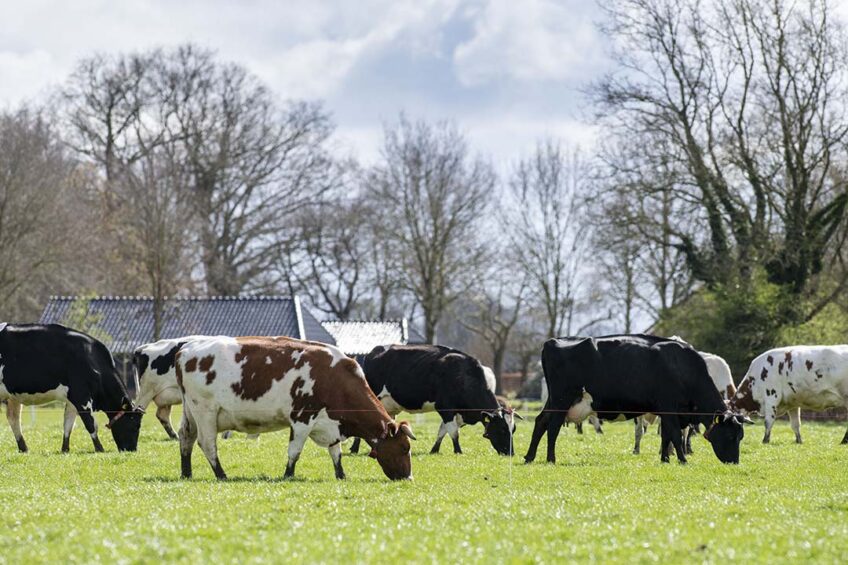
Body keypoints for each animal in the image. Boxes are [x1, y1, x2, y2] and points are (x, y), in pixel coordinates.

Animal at [0, 324, 141, 452]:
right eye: (134, 426)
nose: (132, 450)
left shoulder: (72, 399)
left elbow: (68, 424)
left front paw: (65, 449)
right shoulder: (81, 396)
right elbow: (91, 424)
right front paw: (99, 449)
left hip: (12, 398)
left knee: (14, 419)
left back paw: (24, 449)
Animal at [176, 334, 418, 480]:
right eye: (404, 447)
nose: (408, 477)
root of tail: (186, 348)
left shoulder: (331, 424)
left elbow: (336, 452)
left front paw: (341, 475)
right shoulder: (302, 418)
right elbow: (295, 451)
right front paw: (288, 475)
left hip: (190, 413)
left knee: (186, 438)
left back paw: (186, 473)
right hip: (205, 411)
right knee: (207, 443)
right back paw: (221, 475)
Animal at [346, 342, 516, 456]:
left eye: (513, 429)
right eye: (502, 429)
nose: (511, 453)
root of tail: (373, 351)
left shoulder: (456, 413)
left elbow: (442, 431)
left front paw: (434, 450)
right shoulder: (445, 408)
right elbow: (453, 432)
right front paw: (458, 451)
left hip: (389, 406)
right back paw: (354, 448)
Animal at [528, 334, 752, 462]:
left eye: (740, 436)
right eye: (730, 436)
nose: (734, 462)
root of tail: (553, 341)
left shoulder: (667, 411)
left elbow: (666, 436)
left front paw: (665, 459)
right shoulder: (669, 407)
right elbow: (674, 436)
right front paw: (682, 460)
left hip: (554, 400)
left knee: (540, 422)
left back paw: (529, 457)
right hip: (562, 400)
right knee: (553, 427)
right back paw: (550, 459)